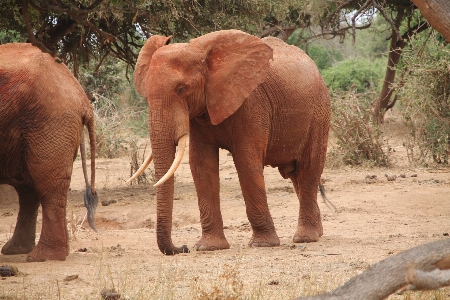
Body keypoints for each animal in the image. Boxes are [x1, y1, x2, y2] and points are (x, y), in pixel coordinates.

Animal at [0, 43, 98, 262]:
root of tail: (82, 98)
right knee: (28, 188)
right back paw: (16, 250)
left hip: (50, 120)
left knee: (47, 183)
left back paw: (42, 257)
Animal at [129, 29, 330, 255]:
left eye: (181, 89)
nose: (183, 247)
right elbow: (201, 165)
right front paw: (208, 247)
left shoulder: (251, 104)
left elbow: (246, 162)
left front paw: (262, 244)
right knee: (295, 174)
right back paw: (317, 232)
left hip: (319, 112)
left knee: (309, 168)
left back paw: (306, 237)